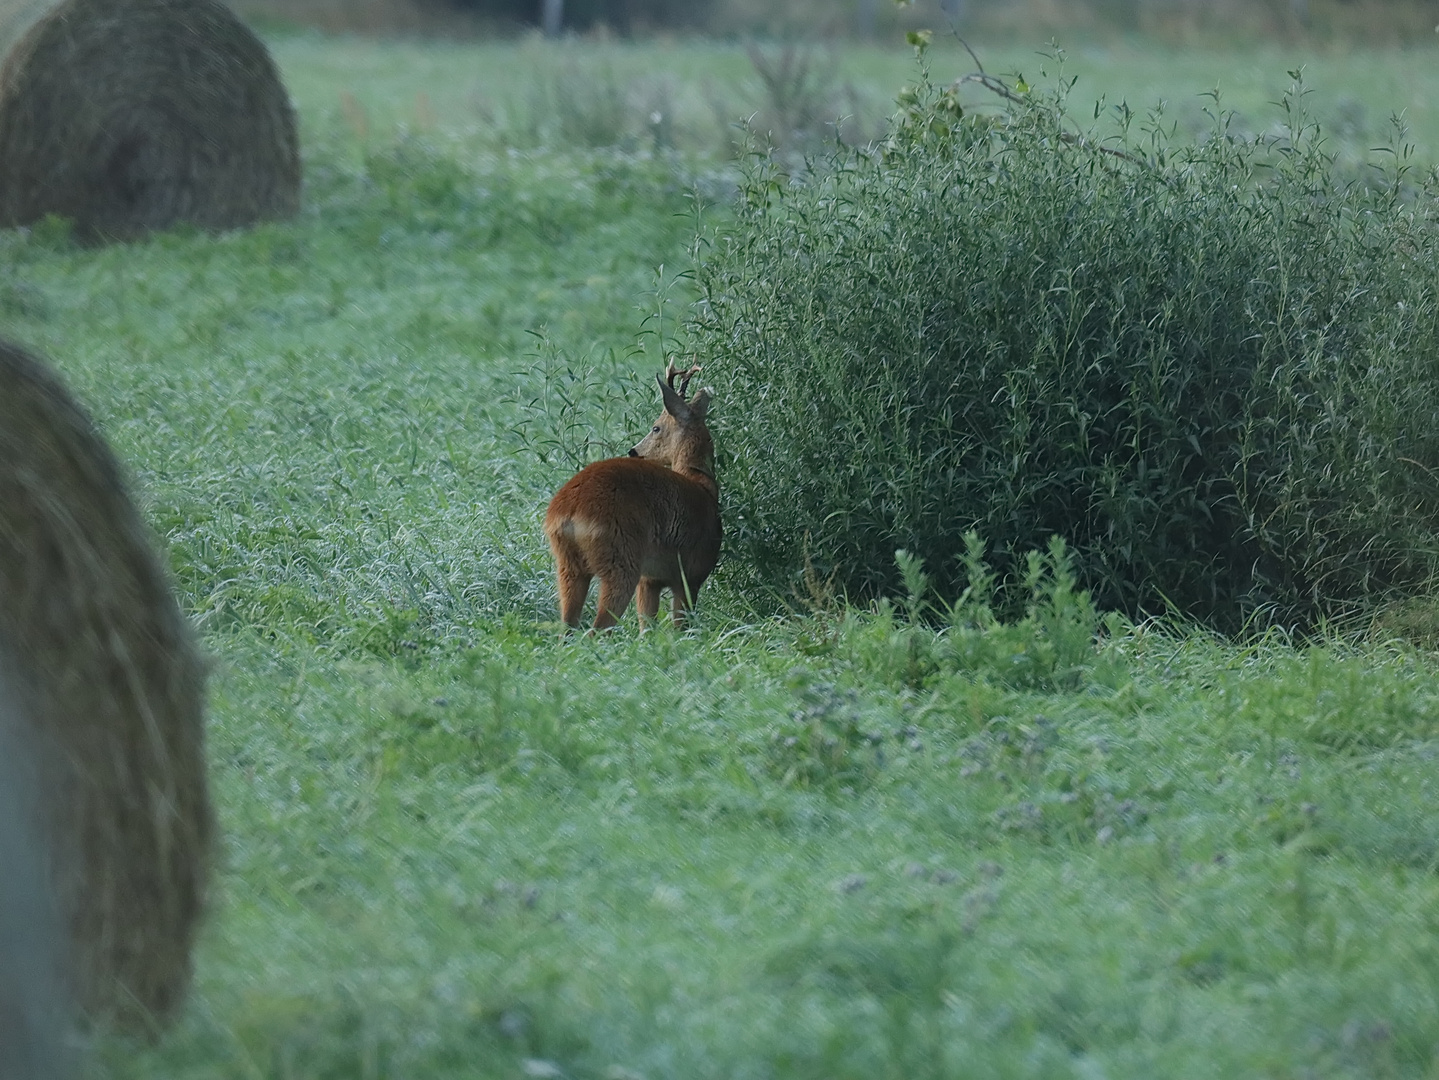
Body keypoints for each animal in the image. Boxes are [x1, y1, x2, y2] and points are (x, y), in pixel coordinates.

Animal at [543, 363, 719, 632]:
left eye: (655, 427)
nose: (634, 451)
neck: (703, 485)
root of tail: (567, 513)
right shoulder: (691, 574)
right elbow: (680, 627)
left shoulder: (650, 579)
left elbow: (647, 629)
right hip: (620, 557)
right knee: (598, 628)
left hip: (567, 564)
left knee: (568, 626)